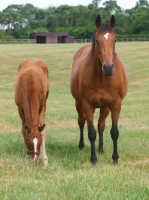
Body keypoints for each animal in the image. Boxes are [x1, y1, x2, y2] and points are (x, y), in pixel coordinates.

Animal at [70, 15, 129, 164]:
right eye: (97, 40)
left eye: (115, 40)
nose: (108, 68)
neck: (103, 79)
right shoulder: (87, 104)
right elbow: (91, 133)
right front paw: (93, 159)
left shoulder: (115, 104)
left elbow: (114, 132)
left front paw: (115, 158)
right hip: (79, 104)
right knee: (81, 122)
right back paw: (81, 145)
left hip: (105, 107)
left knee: (101, 125)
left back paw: (101, 149)